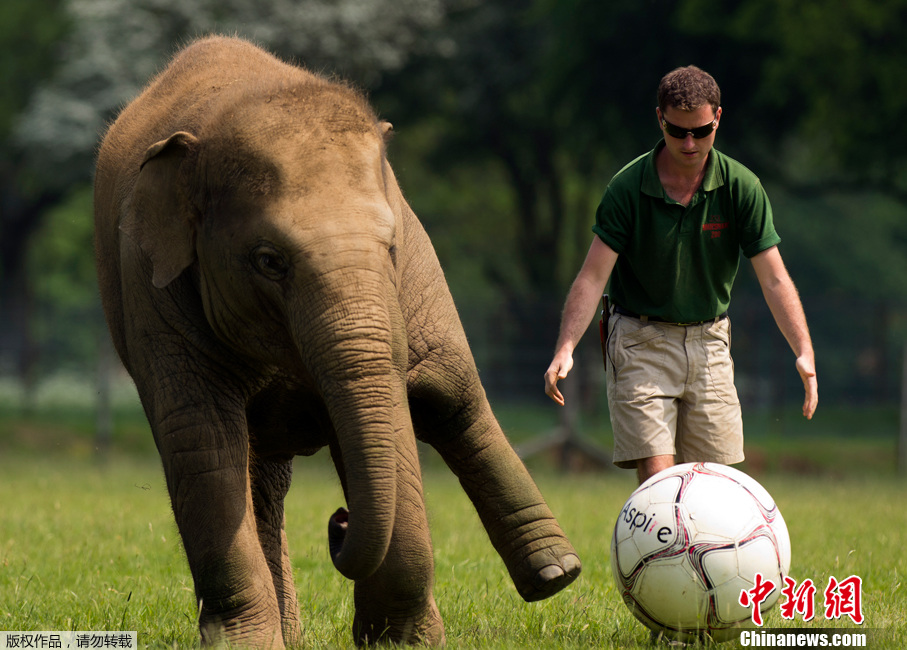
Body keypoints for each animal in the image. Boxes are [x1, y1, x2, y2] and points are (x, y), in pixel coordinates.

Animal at [94, 36, 580, 648]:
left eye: (390, 247)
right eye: (269, 261)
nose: (338, 521)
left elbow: (397, 414)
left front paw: (400, 643)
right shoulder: (151, 289)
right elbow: (199, 437)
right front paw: (247, 644)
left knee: (449, 397)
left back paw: (557, 574)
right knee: (263, 473)